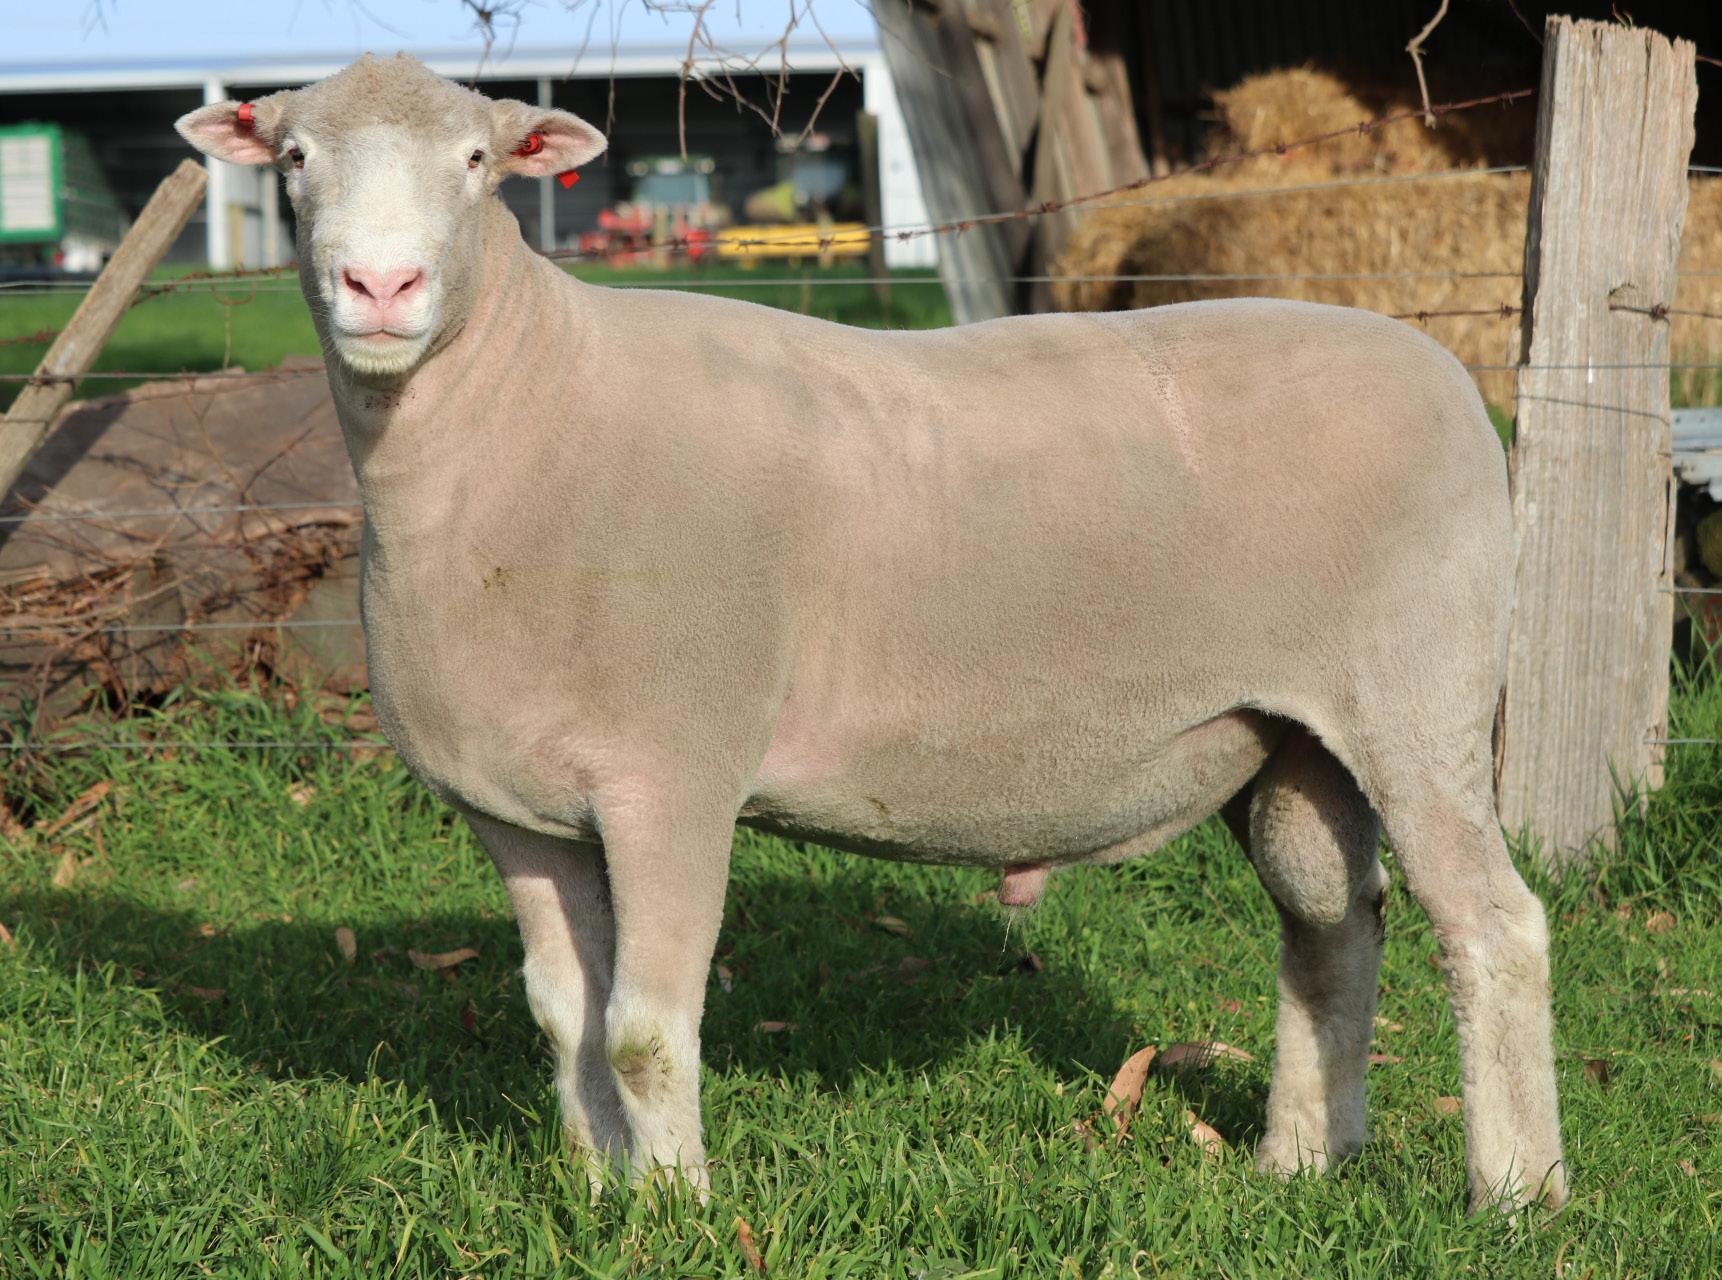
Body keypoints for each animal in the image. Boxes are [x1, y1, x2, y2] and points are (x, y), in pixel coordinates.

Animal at [176, 53, 1566, 1213]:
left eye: (477, 159)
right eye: (292, 159)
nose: (380, 286)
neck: (526, 409)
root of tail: (1446, 375)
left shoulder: (675, 775)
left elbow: (643, 1026)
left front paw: (677, 1209)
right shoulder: (521, 811)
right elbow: (565, 1017)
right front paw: (600, 1192)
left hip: (1417, 694)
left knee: (1495, 928)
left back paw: (1517, 1190)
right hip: (1289, 740)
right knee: (1333, 927)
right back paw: (1301, 1161)